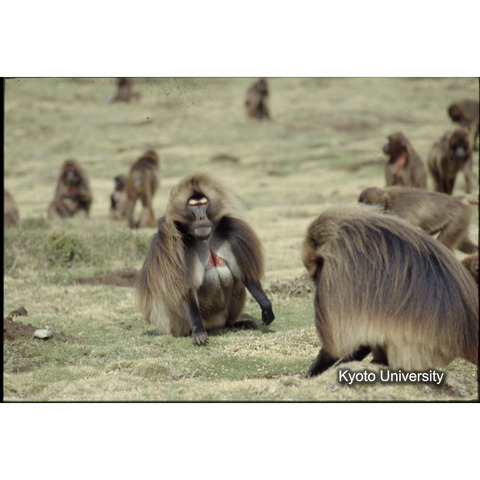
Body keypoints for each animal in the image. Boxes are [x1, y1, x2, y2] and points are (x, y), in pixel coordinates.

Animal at [137, 172, 275, 345]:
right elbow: (186, 289)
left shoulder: (231, 229)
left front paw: (266, 306)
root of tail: (215, 325)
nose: (201, 218)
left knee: (237, 286)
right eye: (193, 206)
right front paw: (197, 331)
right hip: (177, 322)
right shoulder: (174, 245)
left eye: (203, 204)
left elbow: (244, 275)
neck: (205, 239)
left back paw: (236, 324)